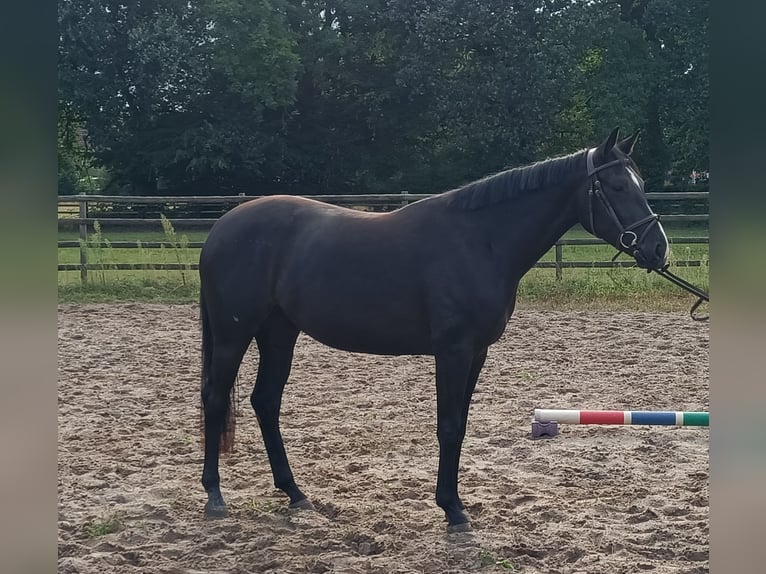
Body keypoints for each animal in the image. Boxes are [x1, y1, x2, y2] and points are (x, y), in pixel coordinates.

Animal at [198, 128, 669, 532]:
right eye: (618, 187)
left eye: (640, 183)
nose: (659, 248)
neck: (480, 241)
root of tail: (222, 227)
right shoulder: (453, 351)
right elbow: (448, 426)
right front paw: (453, 510)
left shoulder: (477, 352)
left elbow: (459, 424)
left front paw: (453, 503)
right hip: (233, 334)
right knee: (216, 399)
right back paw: (214, 496)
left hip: (279, 332)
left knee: (265, 402)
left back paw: (295, 493)